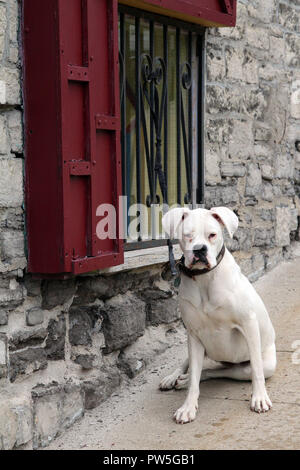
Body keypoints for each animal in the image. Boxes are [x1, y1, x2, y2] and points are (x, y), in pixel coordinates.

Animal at [159, 207, 276, 424]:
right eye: (187, 235)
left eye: (212, 235)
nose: (199, 250)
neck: (205, 279)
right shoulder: (194, 335)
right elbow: (194, 377)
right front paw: (188, 407)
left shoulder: (248, 324)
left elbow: (256, 370)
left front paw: (259, 398)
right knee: (194, 368)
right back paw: (175, 378)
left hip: (258, 365)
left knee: (220, 371)